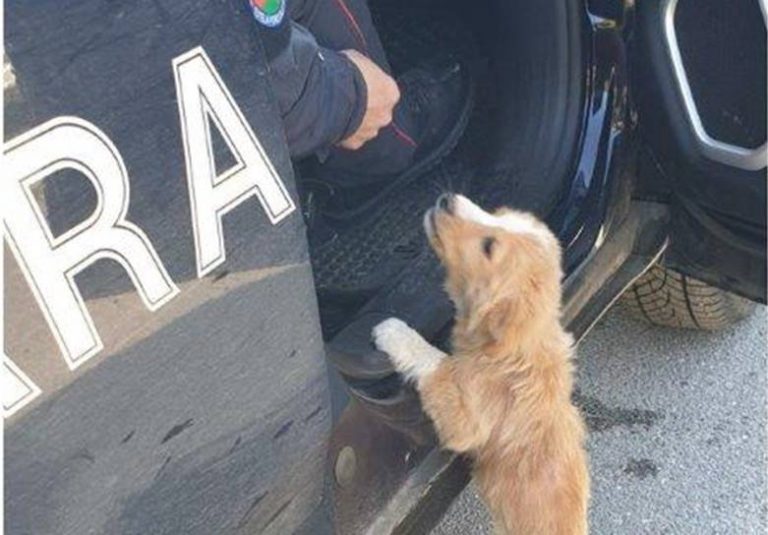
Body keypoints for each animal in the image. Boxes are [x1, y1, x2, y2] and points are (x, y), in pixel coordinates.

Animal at [372, 195, 588, 532]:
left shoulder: (465, 424)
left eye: (488, 247)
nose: (447, 200)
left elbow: (438, 364)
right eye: (498, 214)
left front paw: (394, 332)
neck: (517, 349)